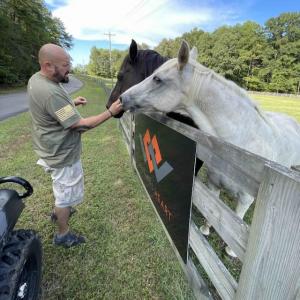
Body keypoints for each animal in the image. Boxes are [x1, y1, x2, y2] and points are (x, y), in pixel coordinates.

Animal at [120, 39, 300, 255]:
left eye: (157, 79)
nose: (121, 98)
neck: (240, 149)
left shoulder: (245, 200)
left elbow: (236, 225)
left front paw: (231, 251)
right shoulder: (214, 185)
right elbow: (213, 211)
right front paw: (206, 230)